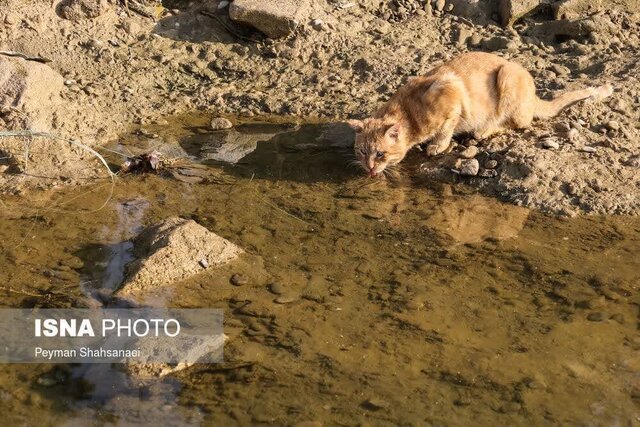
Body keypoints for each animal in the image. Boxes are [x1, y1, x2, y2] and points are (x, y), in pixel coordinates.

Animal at [348, 52, 612, 177]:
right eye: (361, 152)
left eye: (380, 154)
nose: (369, 169)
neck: (408, 113)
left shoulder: (451, 93)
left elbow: (446, 128)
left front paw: (437, 146)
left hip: (507, 77)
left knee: (516, 122)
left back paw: (483, 130)